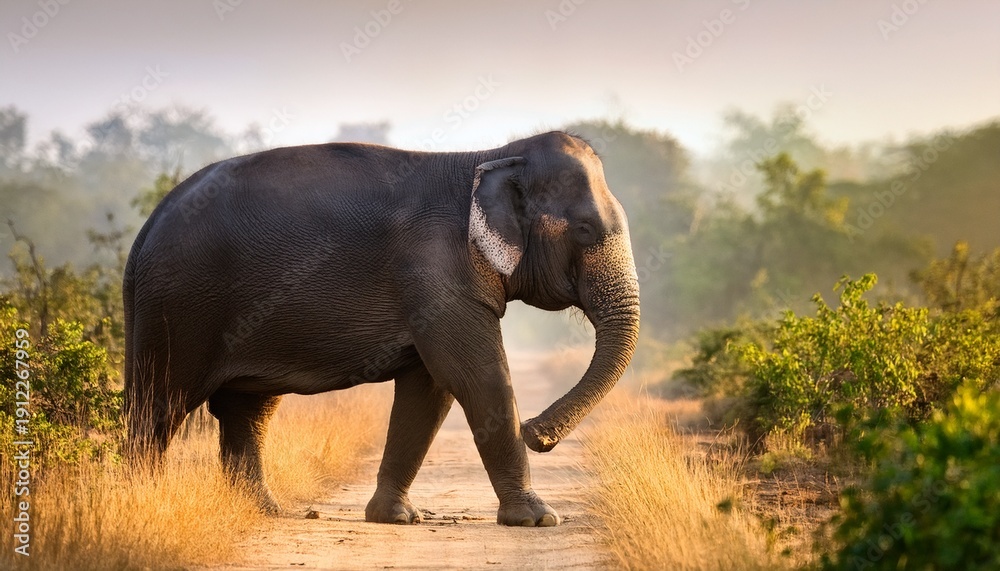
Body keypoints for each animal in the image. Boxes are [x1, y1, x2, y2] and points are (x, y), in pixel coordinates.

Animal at [123, 131, 640, 527]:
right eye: (585, 231)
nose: (539, 433)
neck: (491, 154)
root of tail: (146, 229)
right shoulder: (435, 271)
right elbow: (476, 378)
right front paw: (538, 520)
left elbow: (429, 392)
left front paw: (396, 518)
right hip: (179, 307)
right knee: (159, 405)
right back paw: (145, 499)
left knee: (247, 410)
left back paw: (264, 511)